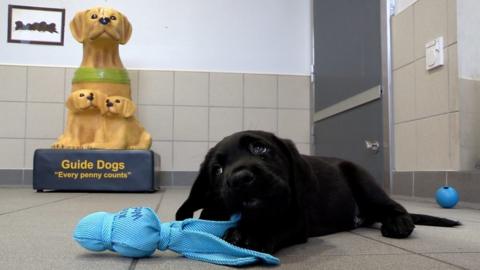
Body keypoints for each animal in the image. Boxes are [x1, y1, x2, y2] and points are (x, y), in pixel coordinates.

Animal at [175, 131, 458, 253]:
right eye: (218, 170)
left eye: (260, 148)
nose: (240, 179)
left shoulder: (296, 219)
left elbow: (274, 223)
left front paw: (250, 234)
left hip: (362, 179)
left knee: (393, 206)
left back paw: (399, 222)